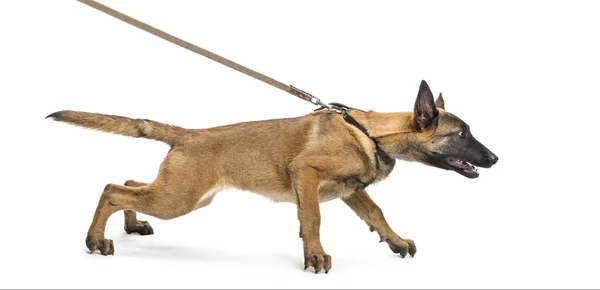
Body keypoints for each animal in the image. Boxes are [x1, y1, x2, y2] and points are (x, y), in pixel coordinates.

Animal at [47, 80, 496, 274]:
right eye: (462, 134)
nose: (494, 158)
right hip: (178, 199)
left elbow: (377, 215)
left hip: (183, 195)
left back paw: (133, 226)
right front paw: (314, 255)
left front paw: (397, 240)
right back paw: (96, 240)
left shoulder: (351, 192)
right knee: (111, 189)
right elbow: (312, 218)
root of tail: (189, 134)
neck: (371, 133)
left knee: (127, 184)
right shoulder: (307, 175)